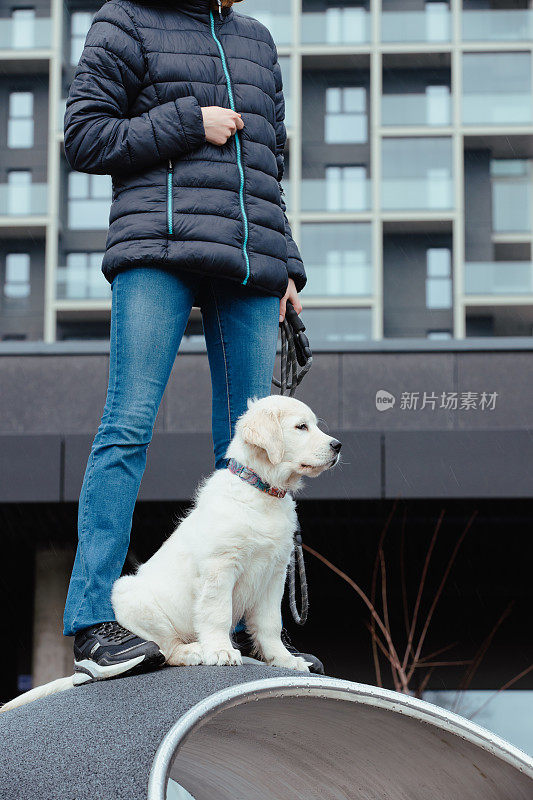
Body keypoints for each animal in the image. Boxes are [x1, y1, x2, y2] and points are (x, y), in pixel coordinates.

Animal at [2, 396, 338, 712]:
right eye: (301, 427)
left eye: (314, 424)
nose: (337, 446)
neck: (262, 492)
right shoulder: (220, 566)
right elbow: (217, 612)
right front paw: (220, 650)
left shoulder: (274, 573)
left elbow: (270, 623)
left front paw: (284, 659)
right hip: (134, 600)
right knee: (165, 650)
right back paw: (193, 650)